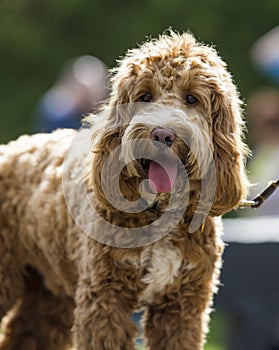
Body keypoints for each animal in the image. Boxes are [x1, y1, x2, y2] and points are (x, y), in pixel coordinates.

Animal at [0, 30, 249, 350]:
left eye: (192, 98)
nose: (163, 134)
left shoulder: (182, 306)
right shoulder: (105, 299)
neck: (160, 209)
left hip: (49, 290)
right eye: (145, 96)